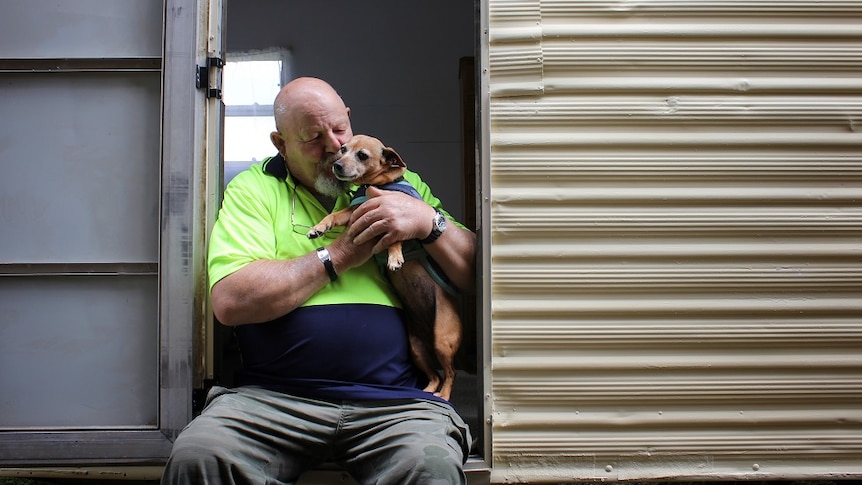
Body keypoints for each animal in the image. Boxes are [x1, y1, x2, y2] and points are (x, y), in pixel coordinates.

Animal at [308, 134, 462, 398]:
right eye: (343, 149)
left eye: (362, 155)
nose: (337, 165)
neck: (375, 186)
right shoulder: (355, 210)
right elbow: (335, 215)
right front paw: (319, 227)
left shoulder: (395, 216)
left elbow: (394, 236)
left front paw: (395, 257)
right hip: (417, 349)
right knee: (434, 374)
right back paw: (427, 390)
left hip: (442, 340)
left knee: (450, 373)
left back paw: (443, 394)